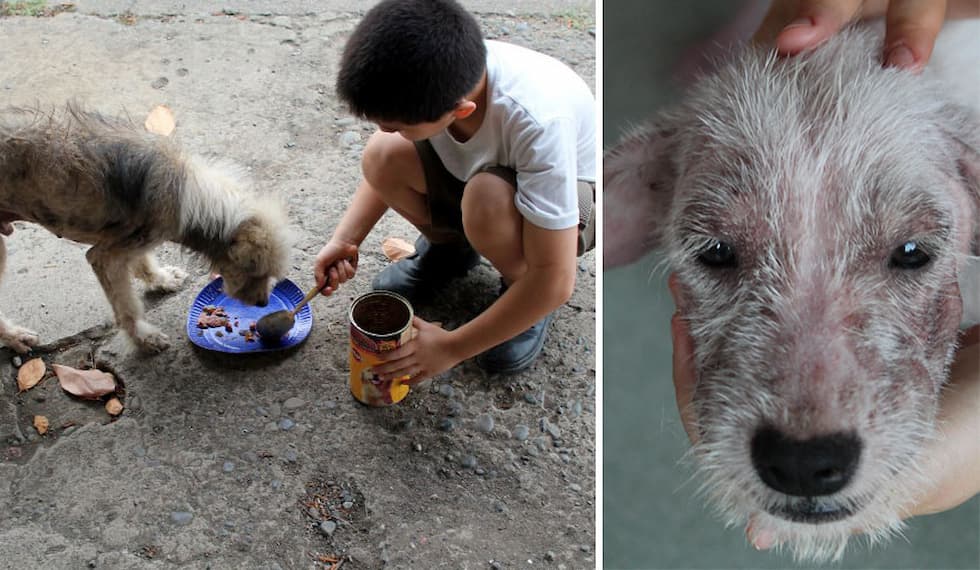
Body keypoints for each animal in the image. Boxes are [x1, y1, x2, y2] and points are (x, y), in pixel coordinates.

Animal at [0, 105, 290, 350]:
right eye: (255, 271)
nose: (263, 302)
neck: (190, 197)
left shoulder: (133, 241)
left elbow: (144, 263)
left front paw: (161, 279)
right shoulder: (106, 257)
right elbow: (126, 306)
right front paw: (143, 337)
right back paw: (16, 336)